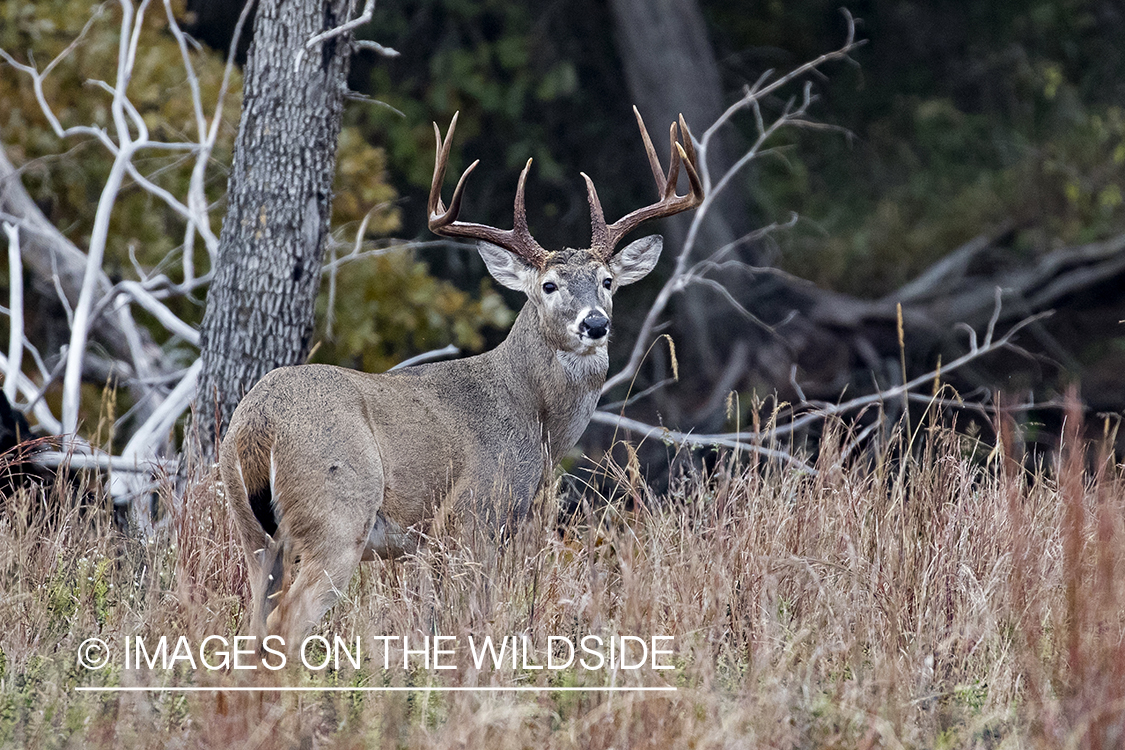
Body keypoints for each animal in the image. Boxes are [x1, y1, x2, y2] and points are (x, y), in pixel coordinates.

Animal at [219, 106, 702, 652]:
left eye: (608, 281)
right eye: (549, 285)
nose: (595, 323)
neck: (532, 415)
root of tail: (259, 424)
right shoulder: (473, 516)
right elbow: (466, 618)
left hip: (254, 533)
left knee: (253, 623)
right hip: (337, 514)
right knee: (286, 623)